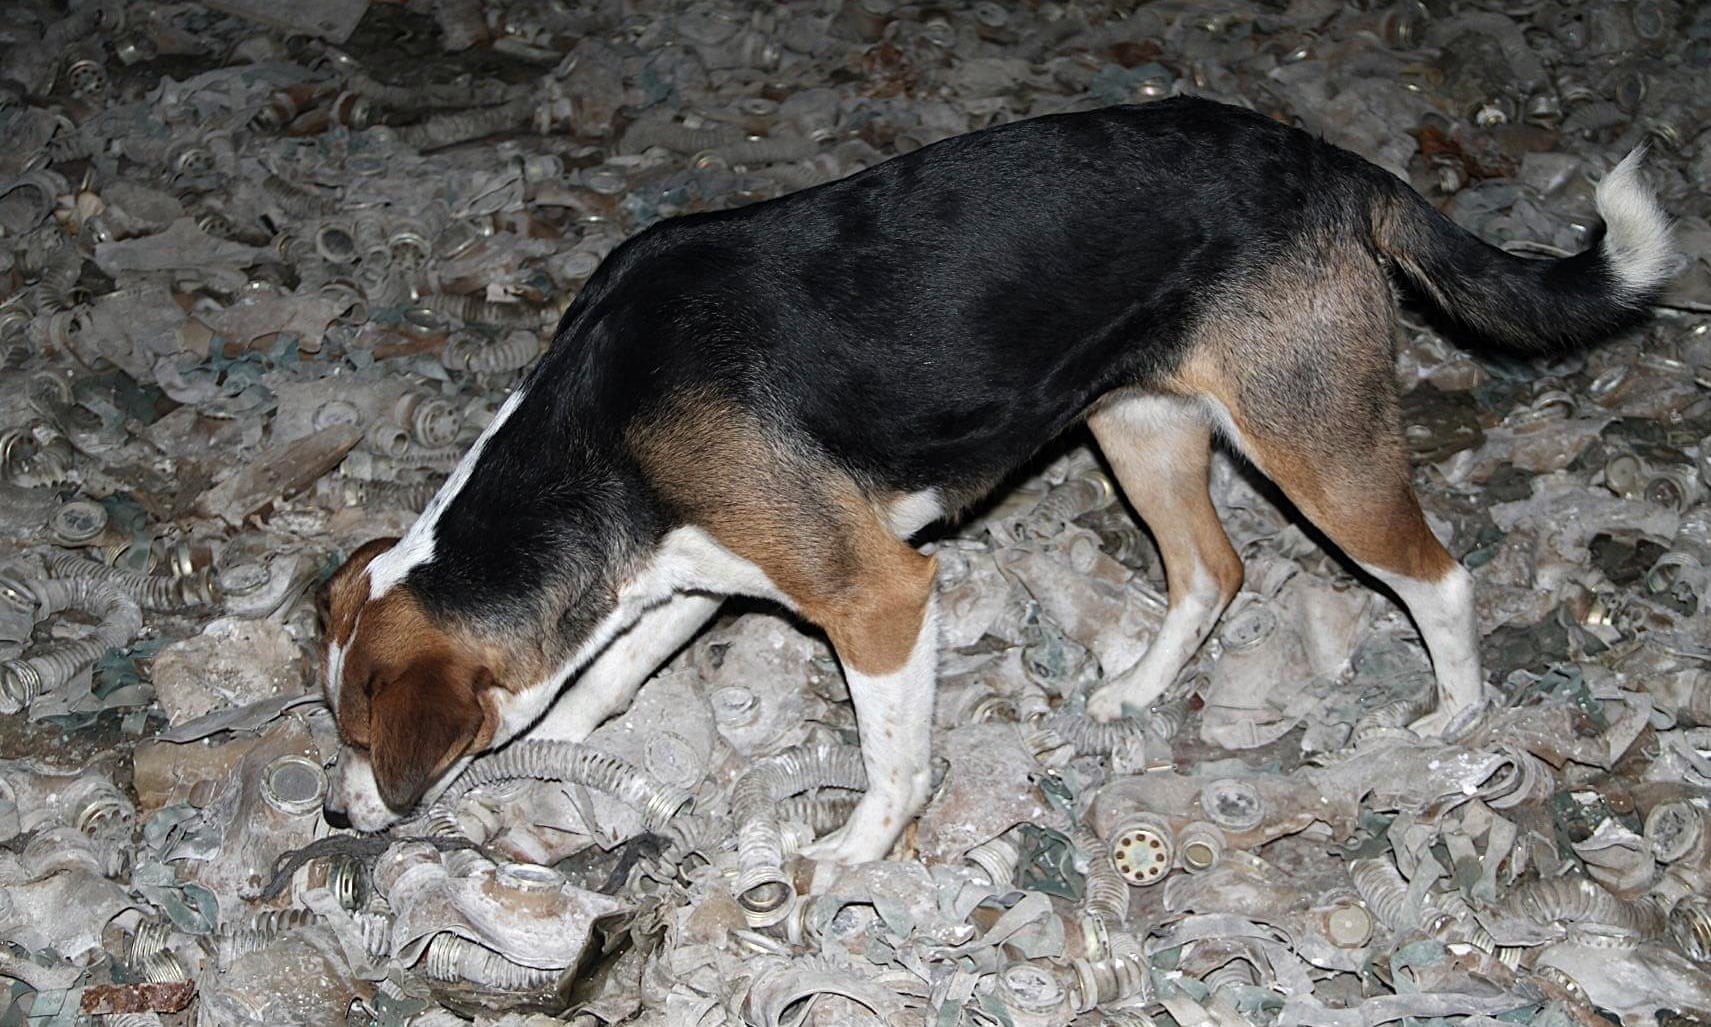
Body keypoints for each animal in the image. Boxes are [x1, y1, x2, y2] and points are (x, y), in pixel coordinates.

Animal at [318, 100, 1669, 862]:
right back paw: (1137, 690)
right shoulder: (697, 569)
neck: (595, 435)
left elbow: (892, 759)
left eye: (362, 739)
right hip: (1139, 427)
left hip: (1316, 449)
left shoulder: (876, 597)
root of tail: (1331, 164)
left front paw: (860, 849)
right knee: (1211, 569)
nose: (331, 818)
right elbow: (603, 675)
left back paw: (1454, 716)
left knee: (1437, 575)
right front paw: (572, 737)